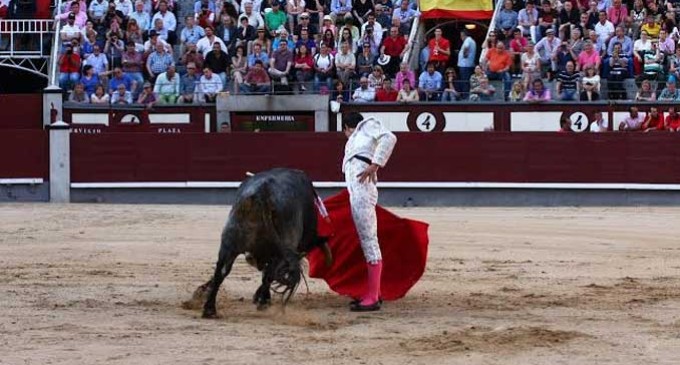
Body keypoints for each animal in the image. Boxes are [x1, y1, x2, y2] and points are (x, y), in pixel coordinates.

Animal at [198, 167, 334, 316]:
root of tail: (264, 192)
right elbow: (269, 274)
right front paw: (262, 298)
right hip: (283, 247)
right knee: (270, 273)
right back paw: (262, 302)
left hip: (229, 240)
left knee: (221, 271)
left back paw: (209, 308)